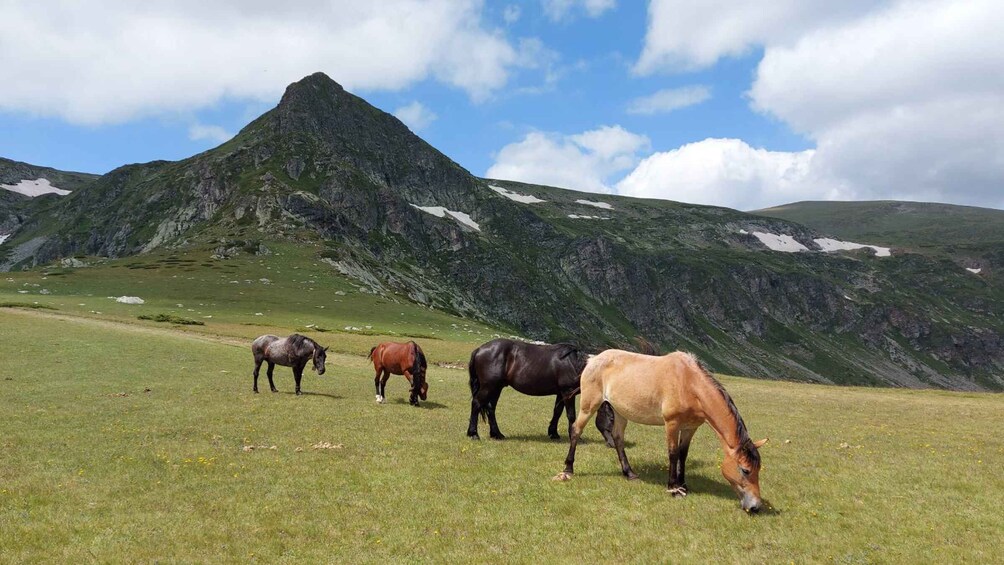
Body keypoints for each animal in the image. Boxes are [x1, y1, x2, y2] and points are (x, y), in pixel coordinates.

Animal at [558, 349, 767, 513]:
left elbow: (683, 454)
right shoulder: (672, 424)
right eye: (745, 470)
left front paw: (684, 485)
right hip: (589, 406)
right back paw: (568, 469)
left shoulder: (690, 428)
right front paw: (673, 488)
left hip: (619, 412)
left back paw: (629, 473)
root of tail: (593, 360)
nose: (755, 506)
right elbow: (673, 453)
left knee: (618, 438)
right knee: (576, 430)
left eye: (758, 469)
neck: (688, 383)